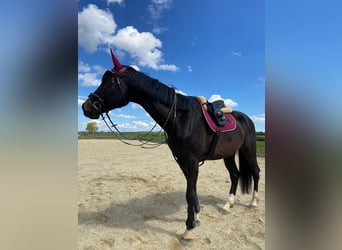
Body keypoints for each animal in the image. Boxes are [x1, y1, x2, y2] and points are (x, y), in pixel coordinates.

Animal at [81, 49, 260, 238]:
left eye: (108, 81)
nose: (86, 107)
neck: (181, 117)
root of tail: (247, 119)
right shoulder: (181, 160)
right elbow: (192, 189)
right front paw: (196, 215)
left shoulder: (192, 161)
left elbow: (190, 193)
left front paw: (189, 228)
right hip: (228, 154)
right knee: (235, 175)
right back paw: (227, 205)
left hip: (249, 150)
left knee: (256, 172)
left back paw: (253, 203)